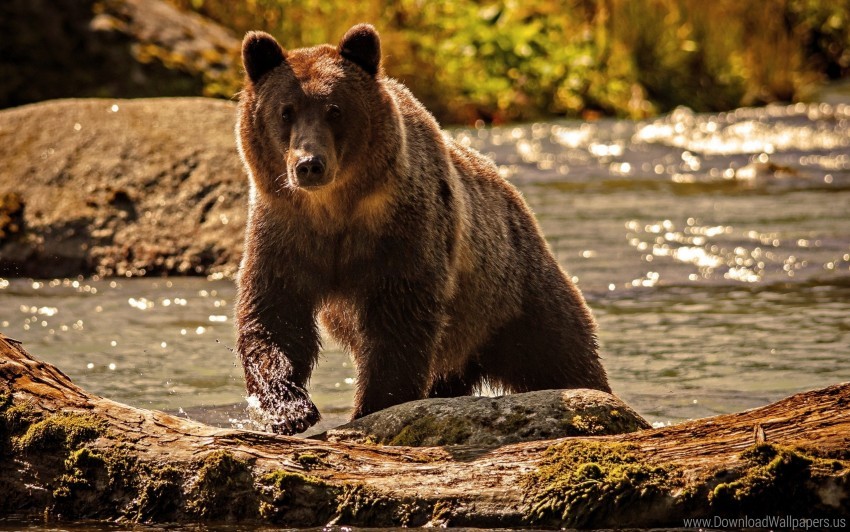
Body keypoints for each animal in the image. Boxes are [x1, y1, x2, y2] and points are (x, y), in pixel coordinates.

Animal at [230, 22, 608, 434]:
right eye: (286, 111)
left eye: (334, 109)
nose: (309, 164)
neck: (334, 209)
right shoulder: (285, 230)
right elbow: (275, 314)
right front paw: (289, 408)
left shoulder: (403, 230)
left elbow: (399, 322)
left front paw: (373, 406)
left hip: (513, 294)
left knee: (561, 352)